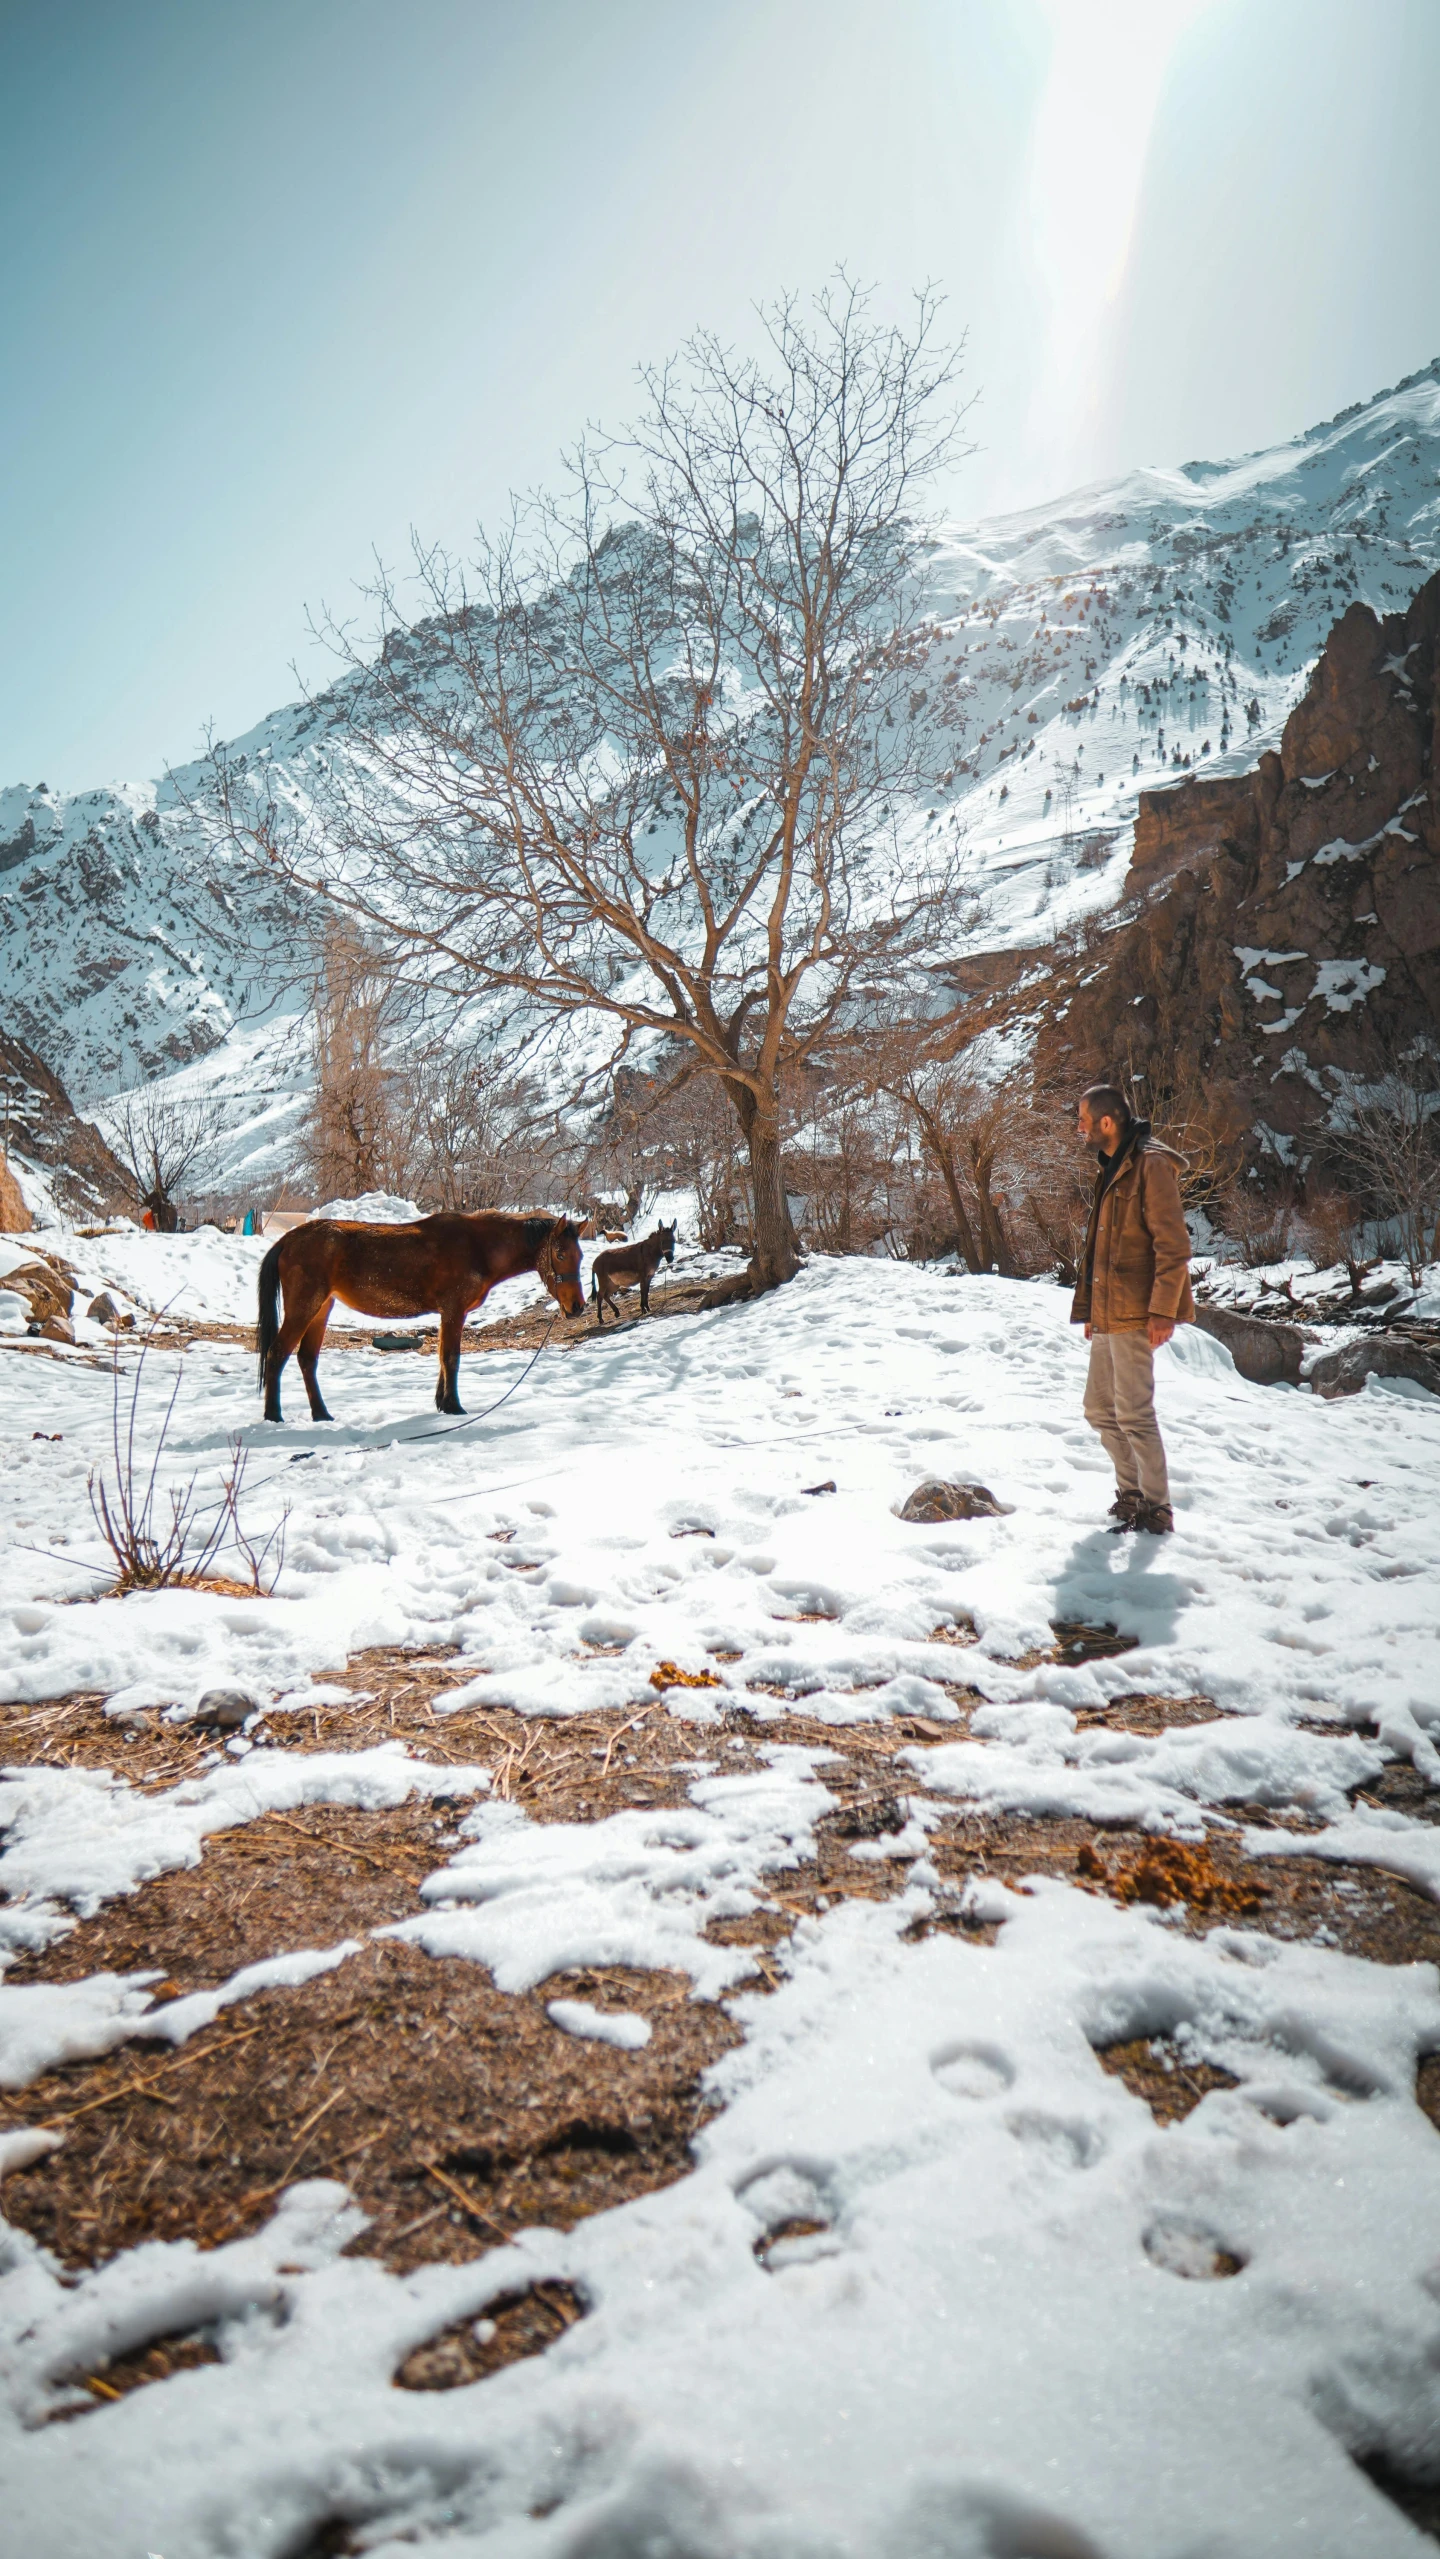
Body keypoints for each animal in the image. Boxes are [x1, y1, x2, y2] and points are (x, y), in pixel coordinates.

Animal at [258, 1212, 585, 1422]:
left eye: (580, 1256)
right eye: (560, 1253)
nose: (578, 1306)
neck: (478, 1247)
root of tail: (288, 1239)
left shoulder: (447, 1314)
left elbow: (442, 1358)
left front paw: (443, 1403)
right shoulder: (453, 1311)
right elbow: (451, 1358)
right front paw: (453, 1406)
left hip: (320, 1309)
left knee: (306, 1360)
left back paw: (321, 1414)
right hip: (303, 1308)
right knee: (277, 1353)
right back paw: (274, 1416)